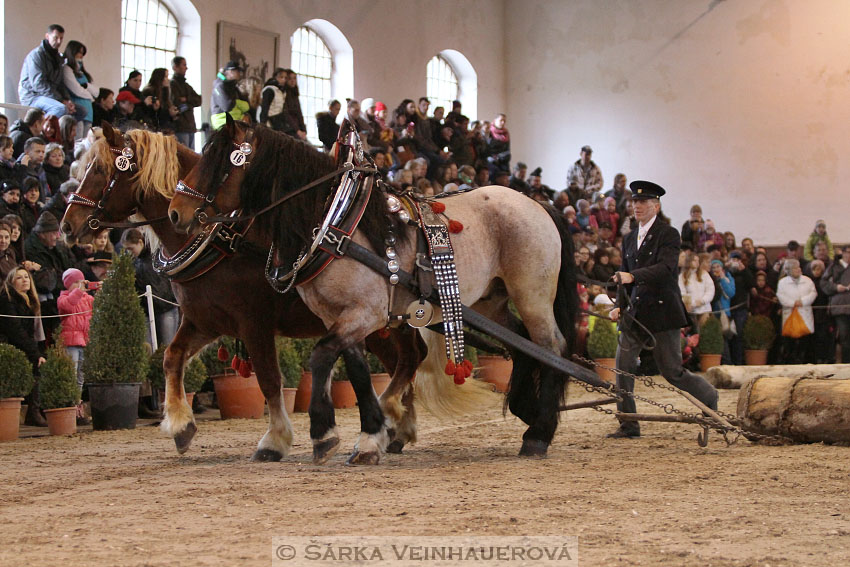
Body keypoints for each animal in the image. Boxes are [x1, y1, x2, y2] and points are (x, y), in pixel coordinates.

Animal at [61, 123, 430, 462]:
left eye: (100, 170)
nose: (67, 224)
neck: (221, 241)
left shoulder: (254, 321)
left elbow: (268, 378)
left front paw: (276, 439)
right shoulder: (205, 320)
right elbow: (171, 357)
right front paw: (181, 426)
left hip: (379, 322)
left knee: (408, 359)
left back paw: (392, 424)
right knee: (409, 358)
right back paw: (396, 429)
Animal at [166, 118, 576, 462]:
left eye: (220, 163)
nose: (175, 212)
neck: (334, 223)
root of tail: (539, 204)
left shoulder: (365, 314)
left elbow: (320, 357)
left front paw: (324, 433)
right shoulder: (341, 316)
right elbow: (357, 371)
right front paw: (371, 436)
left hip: (532, 295)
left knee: (551, 348)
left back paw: (538, 434)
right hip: (492, 301)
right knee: (523, 346)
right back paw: (526, 412)